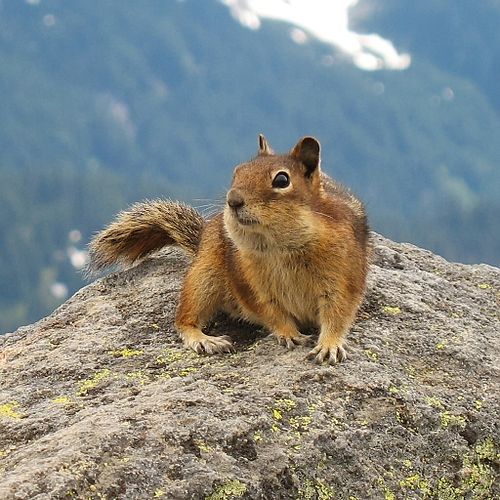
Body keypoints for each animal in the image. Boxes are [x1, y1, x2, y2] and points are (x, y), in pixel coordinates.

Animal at [89, 135, 372, 366]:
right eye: (237, 171)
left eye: (282, 179)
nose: (233, 200)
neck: (281, 247)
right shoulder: (252, 285)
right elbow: (272, 312)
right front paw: (289, 333)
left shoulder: (342, 277)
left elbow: (338, 314)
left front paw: (329, 345)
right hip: (203, 277)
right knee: (184, 319)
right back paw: (205, 340)